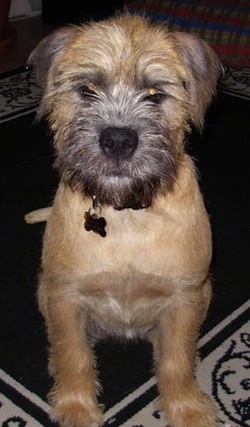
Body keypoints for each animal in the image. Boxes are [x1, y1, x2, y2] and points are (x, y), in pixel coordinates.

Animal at [28, 12, 222, 427]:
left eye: (154, 94)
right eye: (86, 90)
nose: (118, 140)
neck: (127, 216)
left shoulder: (185, 298)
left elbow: (175, 361)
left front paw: (186, 408)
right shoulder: (65, 296)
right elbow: (74, 354)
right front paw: (76, 408)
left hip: (205, 292)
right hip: (44, 290)